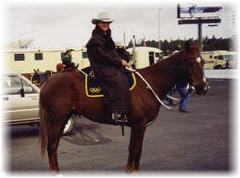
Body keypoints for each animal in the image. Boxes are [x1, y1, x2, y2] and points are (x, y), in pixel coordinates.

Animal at [39, 41, 208, 172]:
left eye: (203, 62)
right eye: (191, 62)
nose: (204, 87)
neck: (148, 84)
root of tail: (48, 82)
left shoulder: (135, 125)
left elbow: (131, 149)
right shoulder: (140, 124)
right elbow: (137, 150)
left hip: (62, 120)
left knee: (54, 146)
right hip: (56, 120)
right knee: (51, 147)